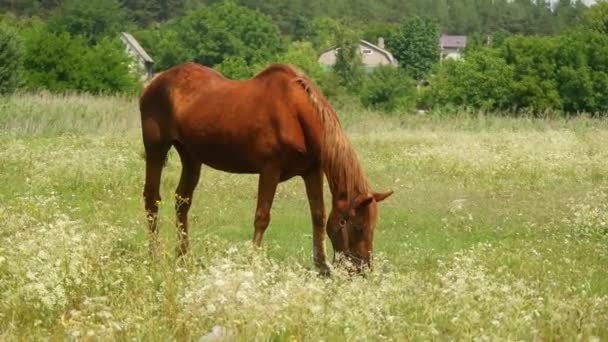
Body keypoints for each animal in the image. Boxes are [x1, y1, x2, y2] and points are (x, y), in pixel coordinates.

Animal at [140, 62, 392, 274]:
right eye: (358, 227)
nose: (363, 269)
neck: (295, 112)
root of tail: (154, 82)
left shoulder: (312, 172)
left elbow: (318, 215)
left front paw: (321, 266)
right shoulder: (270, 170)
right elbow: (262, 217)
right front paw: (253, 262)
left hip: (191, 157)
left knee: (182, 202)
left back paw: (184, 258)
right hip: (156, 149)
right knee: (152, 199)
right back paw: (155, 257)